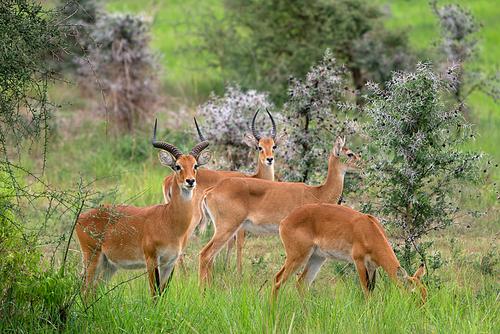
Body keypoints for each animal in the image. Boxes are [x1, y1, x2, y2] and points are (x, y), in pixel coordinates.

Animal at [75, 118, 212, 298]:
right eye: (177, 166)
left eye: (195, 165)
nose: (190, 181)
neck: (168, 221)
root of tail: (82, 216)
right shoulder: (151, 259)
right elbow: (154, 294)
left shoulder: (170, 262)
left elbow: (162, 294)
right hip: (92, 257)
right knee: (85, 290)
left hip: (109, 264)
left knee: (96, 289)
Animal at [197, 135, 362, 284]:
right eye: (350, 153)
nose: (363, 164)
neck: (317, 192)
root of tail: (210, 190)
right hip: (227, 227)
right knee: (206, 254)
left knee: (210, 258)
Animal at [274, 204, 426, 302]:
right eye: (413, 293)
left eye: (425, 291)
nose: (423, 312)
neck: (370, 231)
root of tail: (285, 220)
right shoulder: (359, 262)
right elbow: (366, 292)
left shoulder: (372, 268)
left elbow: (371, 292)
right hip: (298, 256)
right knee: (278, 280)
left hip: (316, 258)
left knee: (301, 284)